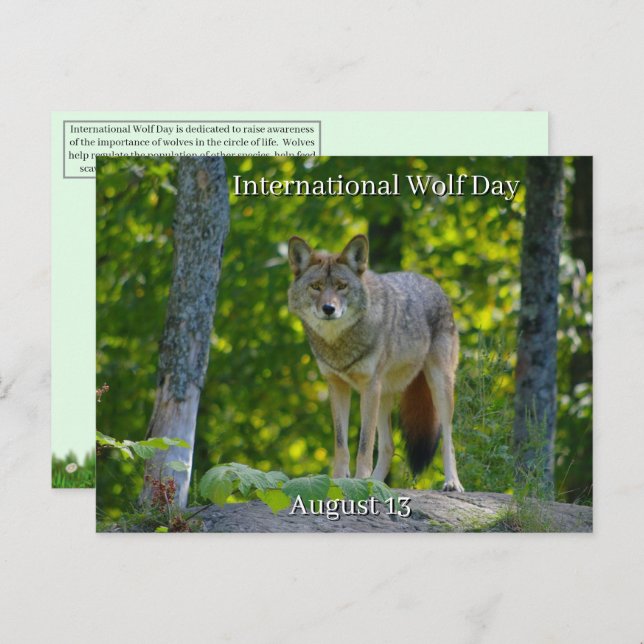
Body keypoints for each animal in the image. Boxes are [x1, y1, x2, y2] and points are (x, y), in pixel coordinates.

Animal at [287, 235, 464, 491]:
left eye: (341, 286)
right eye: (316, 287)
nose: (329, 309)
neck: (339, 343)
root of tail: (433, 284)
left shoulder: (368, 387)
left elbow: (364, 444)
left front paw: (359, 479)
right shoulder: (337, 386)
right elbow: (341, 444)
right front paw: (340, 480)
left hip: (438, 386)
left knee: (448, 439)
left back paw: (452, 482)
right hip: (384, 396)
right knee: (389, 446)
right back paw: (376, 483)